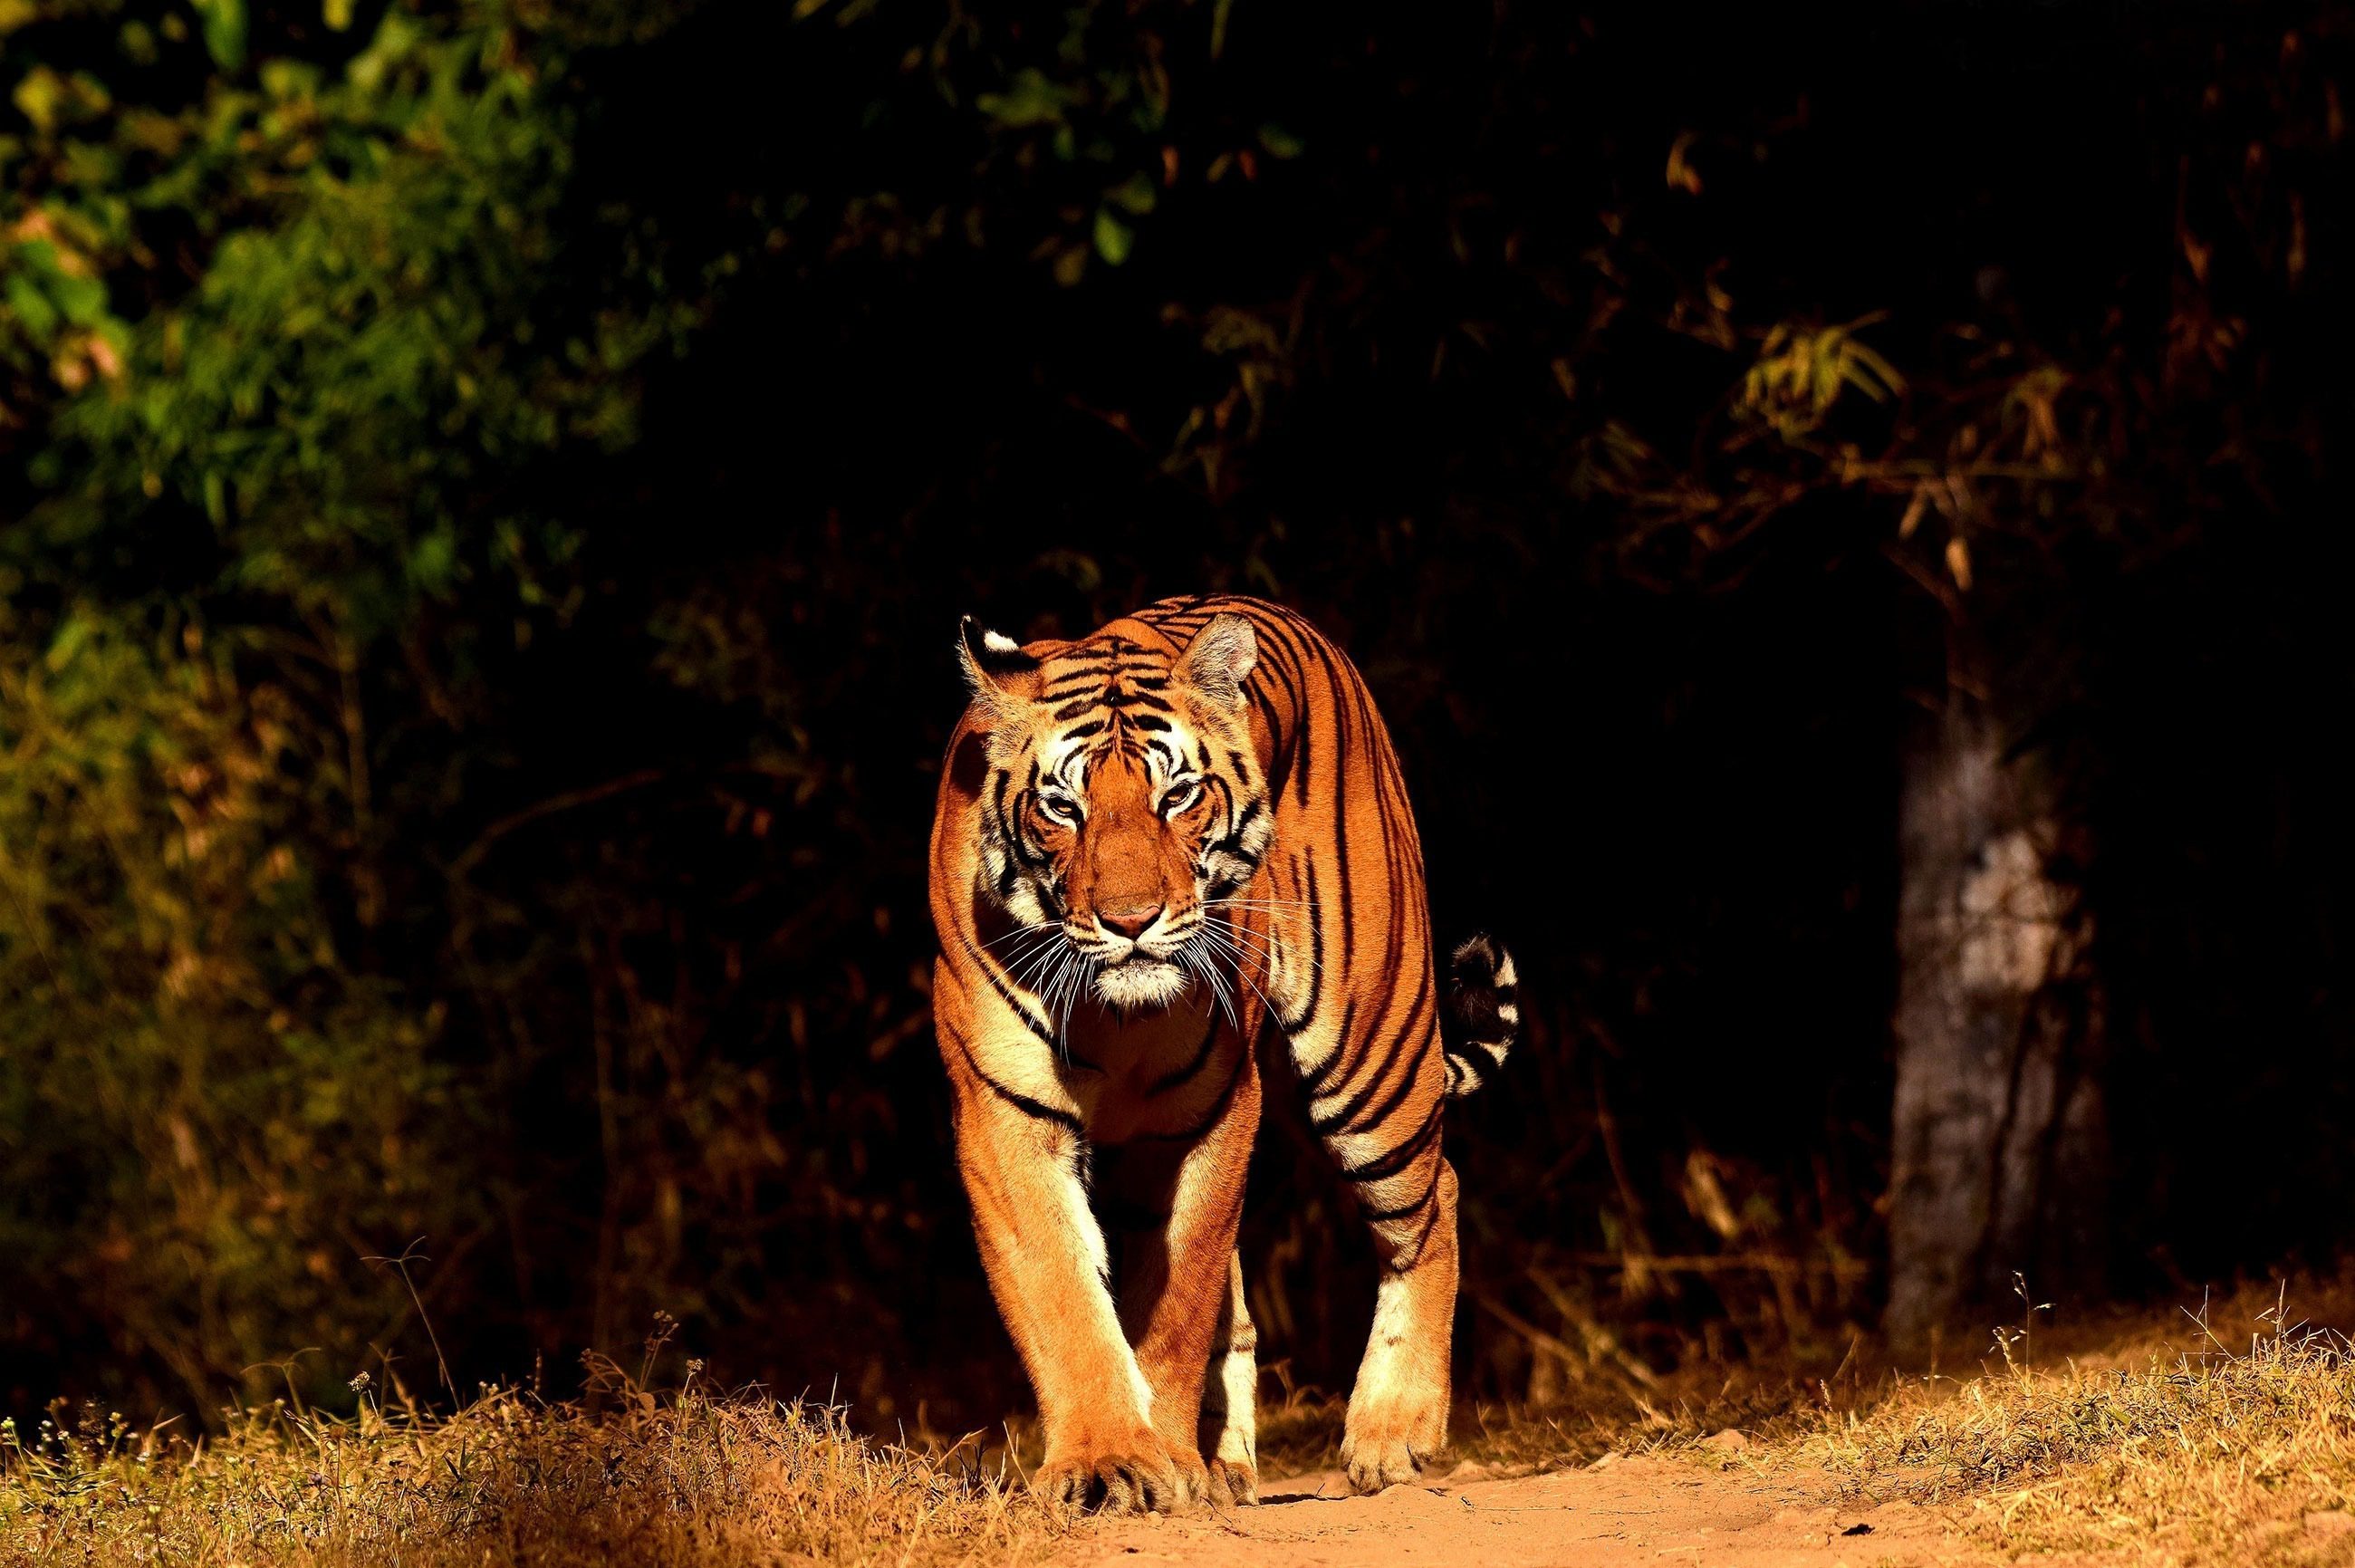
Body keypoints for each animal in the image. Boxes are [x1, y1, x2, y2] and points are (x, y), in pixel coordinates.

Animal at [928, 592, 1516, 1506]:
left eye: (1177, 795)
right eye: (1062, 806)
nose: (1131, 920)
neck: (1112, 1015)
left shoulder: (1211, 1112)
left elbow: (1179, 1301)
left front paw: (1162, 1459)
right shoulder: (1006, 1115)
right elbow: (1065, 1296)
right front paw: (1106, 1460)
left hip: (1371, 1052)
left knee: (1434, 1197)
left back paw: (1393, 1431)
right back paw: (1229, 1462)